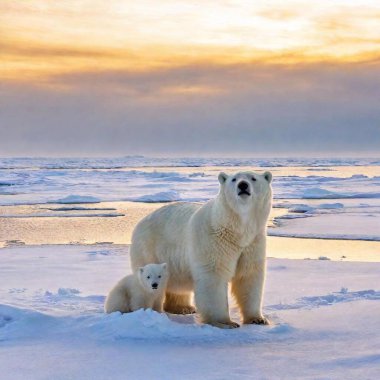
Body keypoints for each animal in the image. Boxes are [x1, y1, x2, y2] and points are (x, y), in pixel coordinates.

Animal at [129, 171, 272, 328]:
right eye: (234, 179)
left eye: (253, 178)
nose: (243, 185)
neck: (234, 230)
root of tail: (141, 222)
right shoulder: (213, 242)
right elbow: (214, 276)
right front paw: (225, 322)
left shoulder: (252, 243)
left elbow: (249, 277)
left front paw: (258, 319)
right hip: (149, 249)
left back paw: (184, 308)